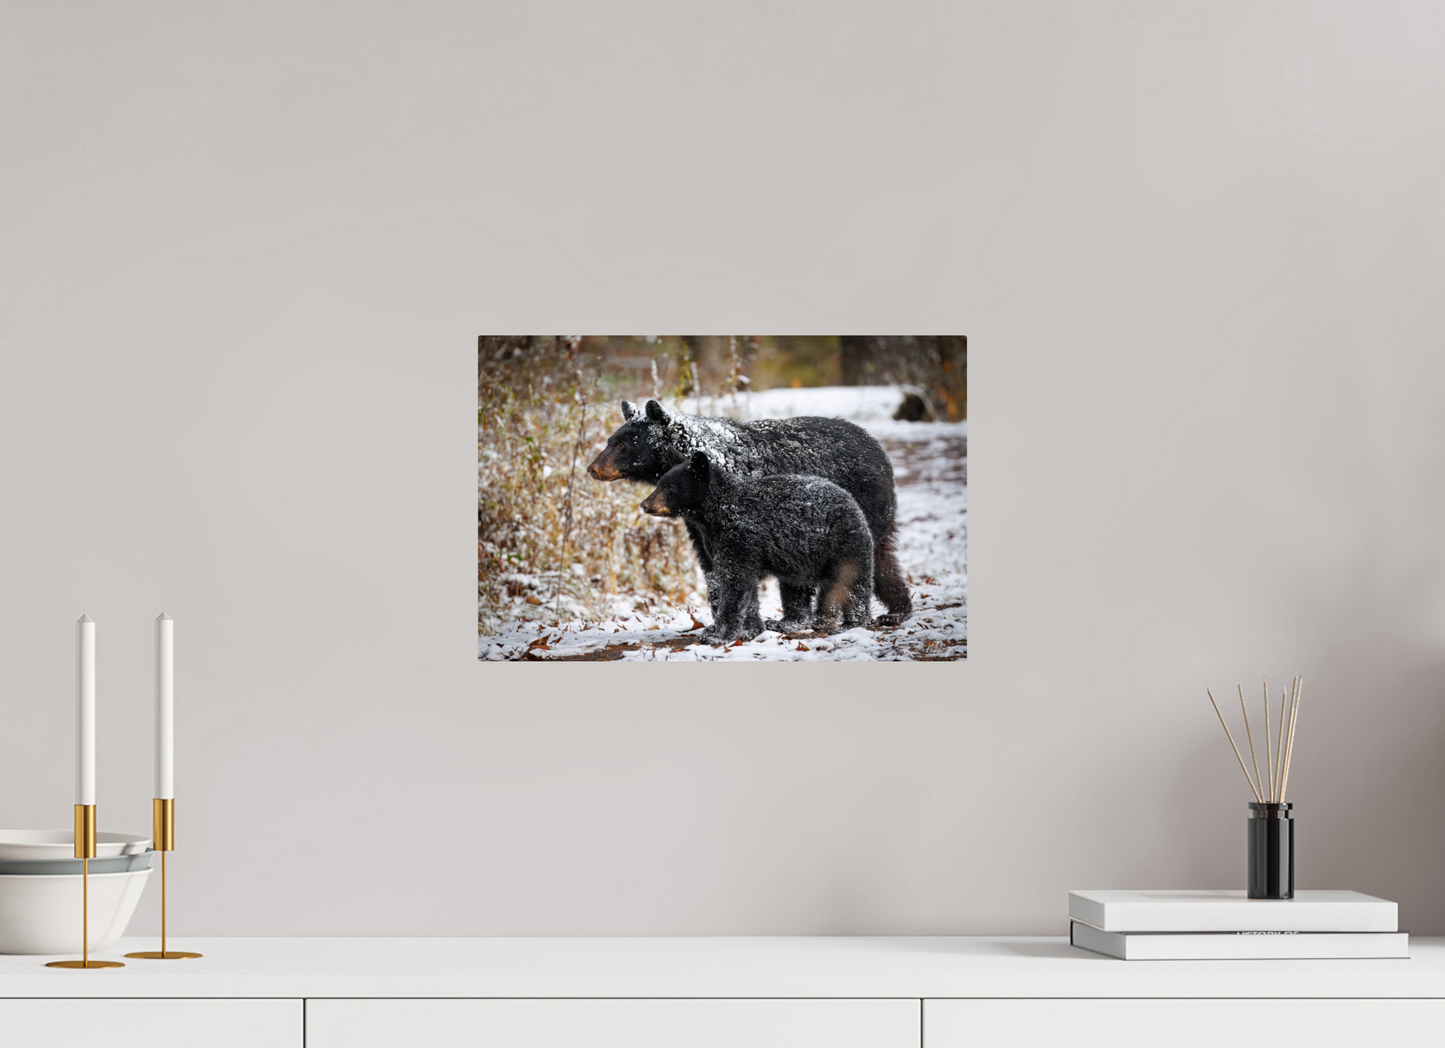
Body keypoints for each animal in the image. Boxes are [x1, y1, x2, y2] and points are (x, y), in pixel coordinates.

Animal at [640, 451, 875, 646]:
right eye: (659, 483)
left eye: (669, 487)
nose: (644, 504)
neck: (716, 512)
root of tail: (852, 501)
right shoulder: (719, 542)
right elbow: (746, 588)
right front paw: (750, 630)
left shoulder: (739, 536)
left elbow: (734, 583)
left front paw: (718, 635)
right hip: (798, 559)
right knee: (794, 587)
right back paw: (788, 622)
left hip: (843, 544)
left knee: (854, 583)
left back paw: (852, 623)